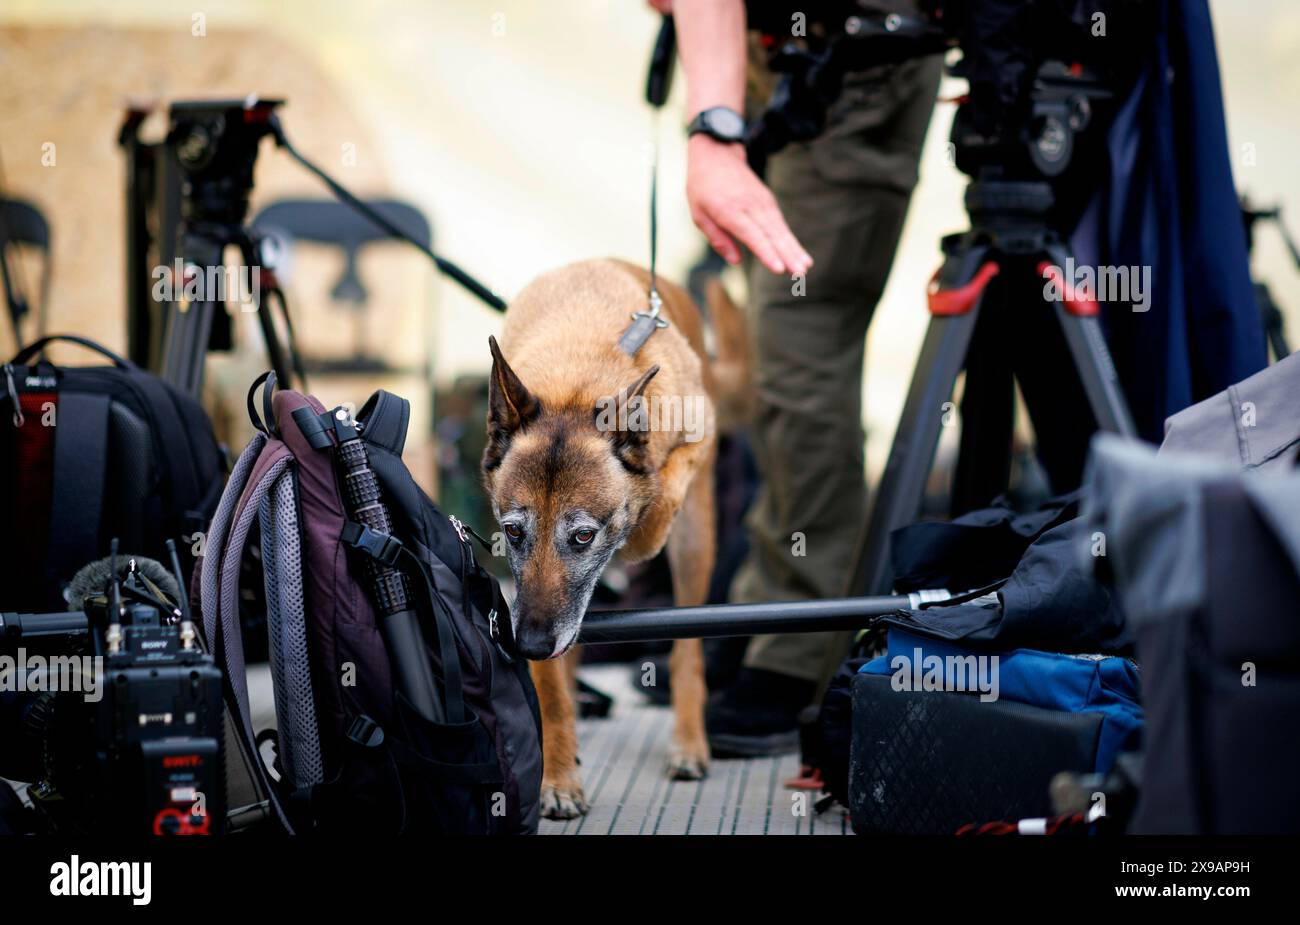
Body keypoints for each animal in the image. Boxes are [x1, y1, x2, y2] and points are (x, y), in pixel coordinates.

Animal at [478, 254, 748, 815]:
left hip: (696, 544)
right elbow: (552, 684)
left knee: (687, 653)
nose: (529, 644)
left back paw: (689, 743)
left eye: (583, 536)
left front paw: (639, 514)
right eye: (512, 531)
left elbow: (657, 499)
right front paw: (558, 776)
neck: (578, 385)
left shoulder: (697, 440)